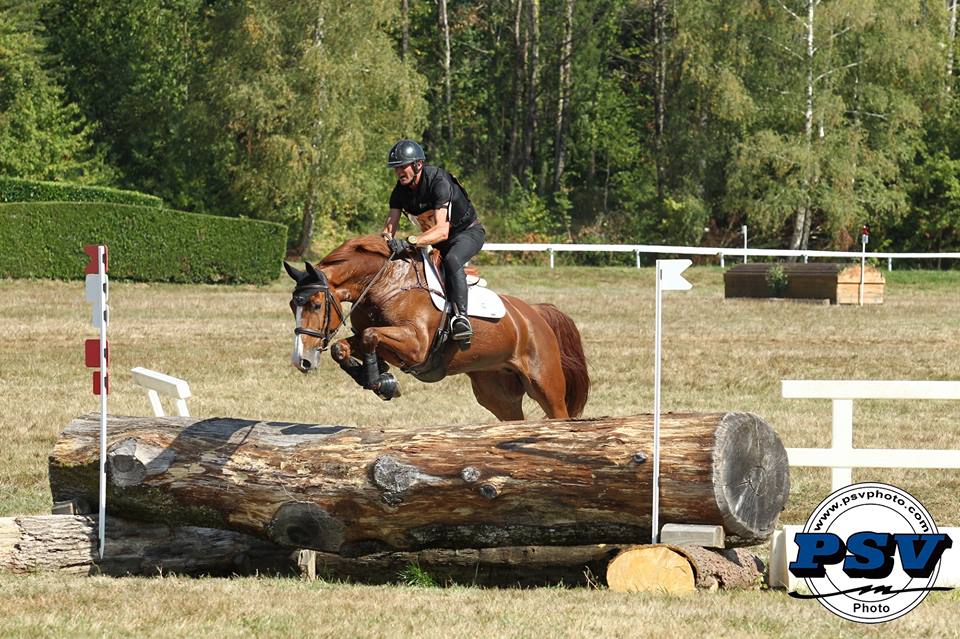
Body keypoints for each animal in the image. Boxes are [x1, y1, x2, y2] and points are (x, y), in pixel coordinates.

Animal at [282, 235, 588, 420]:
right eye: (292, 305)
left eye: (316, 305)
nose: (302, 361)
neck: (386, 284)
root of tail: (535, 313)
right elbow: (343, 346)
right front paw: (381, 378)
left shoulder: (415, 346)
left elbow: (370, 336)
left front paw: (380, 380)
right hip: (496, 392)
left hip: (544, 383)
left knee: (559, 414)